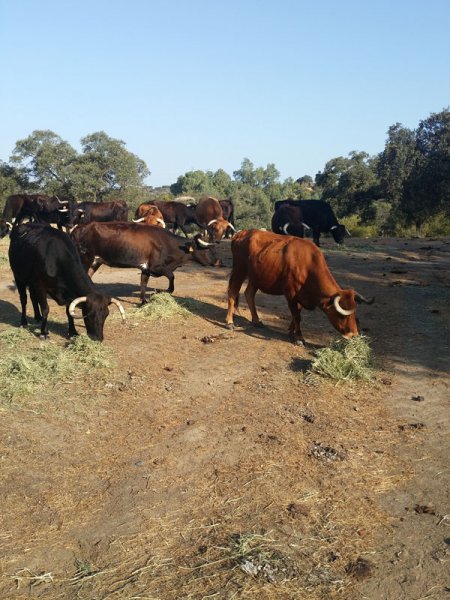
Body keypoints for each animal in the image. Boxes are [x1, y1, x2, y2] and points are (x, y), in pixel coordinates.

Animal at [71, 221, 218, 302]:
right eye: (205, 249)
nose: (217, 262)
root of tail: (79, 228)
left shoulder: (145, 268)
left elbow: (143, 283)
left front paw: (143, 301)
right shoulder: (155, 266)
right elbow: (171, 276)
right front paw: (166, 291)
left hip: (96, 261)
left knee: (88, 276)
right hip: (85, 258)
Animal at [227, 229, 374, 344]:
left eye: (355, 314)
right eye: (342, 316)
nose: (354, 335)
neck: (308, 265)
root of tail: (241, 233)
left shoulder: (300, 296)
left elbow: (296, 314)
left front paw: (291, 331)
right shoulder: (291, 294)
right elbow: (297, 316)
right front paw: (299, 337)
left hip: (256, 277)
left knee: (249, 294)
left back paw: (257, 321)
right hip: (239, 270)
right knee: (233, 292)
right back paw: (229, 322)